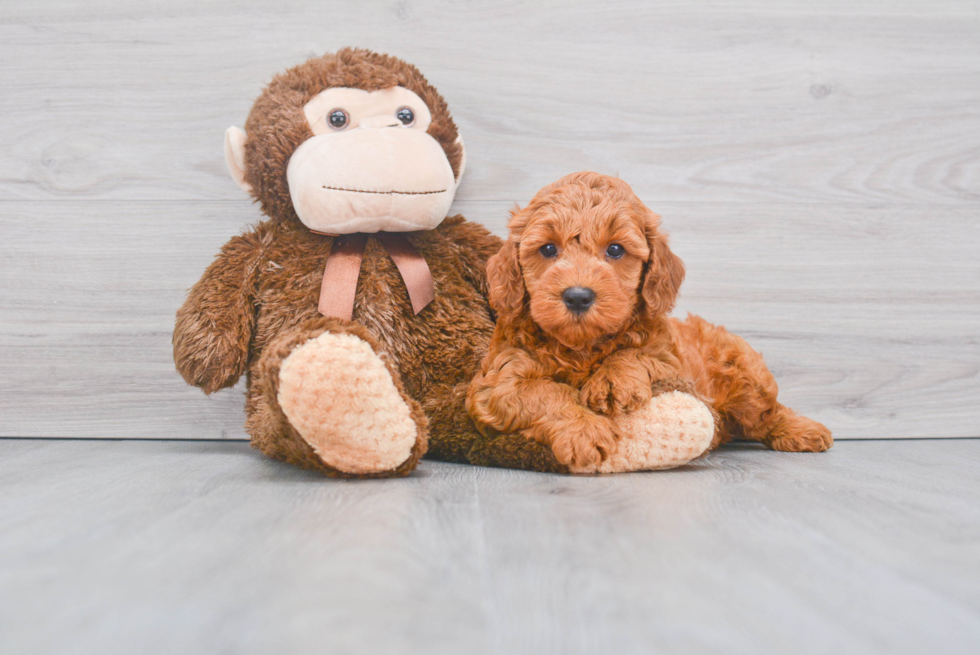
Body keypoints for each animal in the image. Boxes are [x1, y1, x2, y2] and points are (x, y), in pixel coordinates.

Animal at [468, 173, 836, 472]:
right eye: (547, 249)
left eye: (615, 250)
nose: (577, 296)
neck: (583, 347)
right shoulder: (498, 381)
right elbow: (545, 392)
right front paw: (585, 429)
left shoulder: (671, 361)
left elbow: (638, 353)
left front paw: (613, 380)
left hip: (746, 379)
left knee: (767, 414)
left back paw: (804, 431)